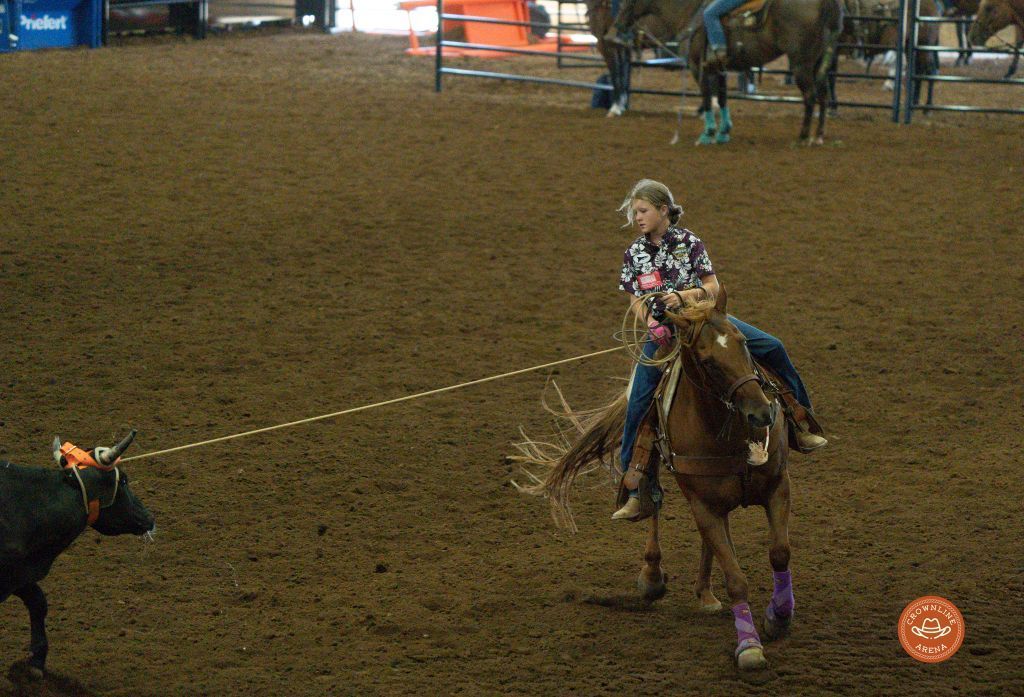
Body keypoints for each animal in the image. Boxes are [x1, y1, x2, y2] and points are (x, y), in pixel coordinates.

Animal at [1, 429, 155, 676]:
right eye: (123, 480)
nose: (149, 517)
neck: (28, 506)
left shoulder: (20, 573)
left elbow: (38, 602)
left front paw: (36, 660)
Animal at [516, 289, 795, 672]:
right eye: (708, 362)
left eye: (743, 344)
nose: (761, 413)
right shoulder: (701, 501)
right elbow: (736, 579)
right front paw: (749, 646)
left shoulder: (777, 486)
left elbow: (779, 553)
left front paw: (778, 616)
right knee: (653, 500)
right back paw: (653, 575)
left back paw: (705, 593)